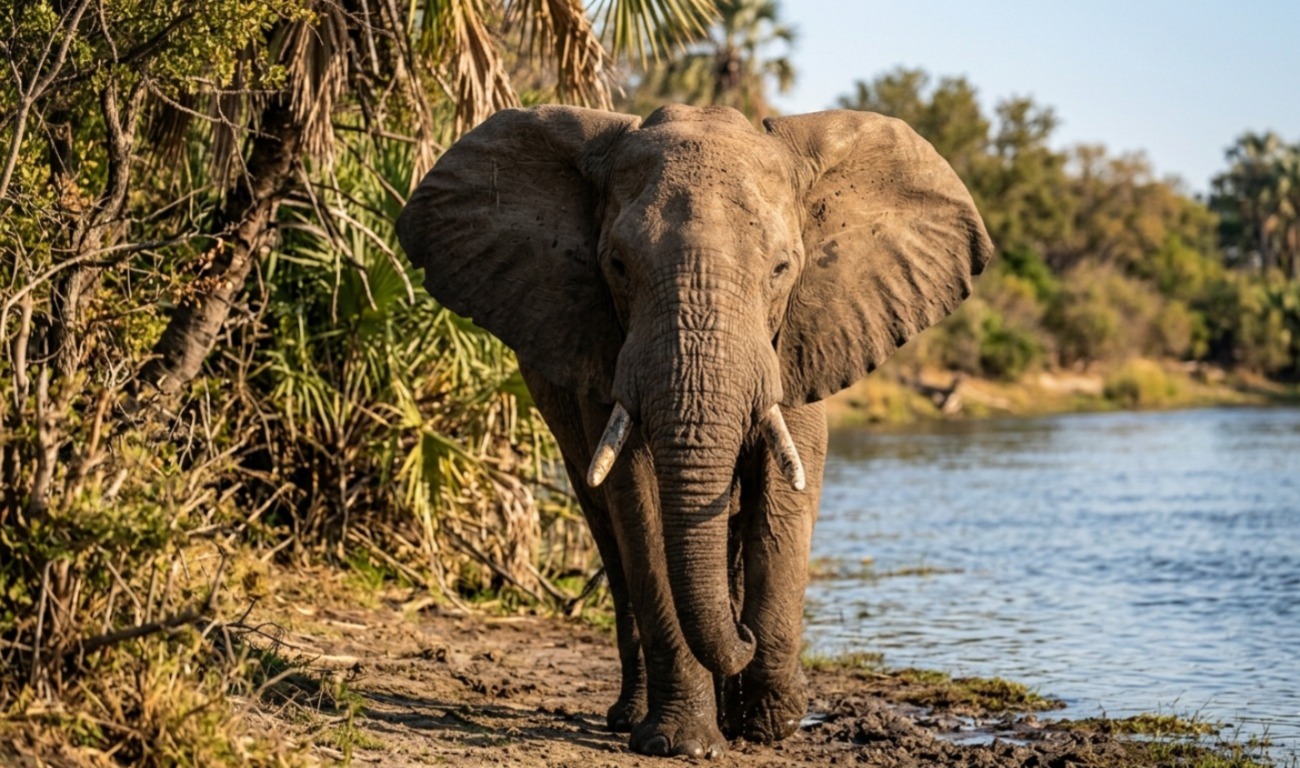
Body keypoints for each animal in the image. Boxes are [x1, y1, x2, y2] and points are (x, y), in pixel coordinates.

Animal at [396, 104, 991, 758]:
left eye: (782, 268)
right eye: (617, 265)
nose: (742, 635)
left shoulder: (803, 337)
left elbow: (784, 498)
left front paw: (771, 727)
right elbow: (639, 505)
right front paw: (685, 743)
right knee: (608, 532)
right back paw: (635, 716)